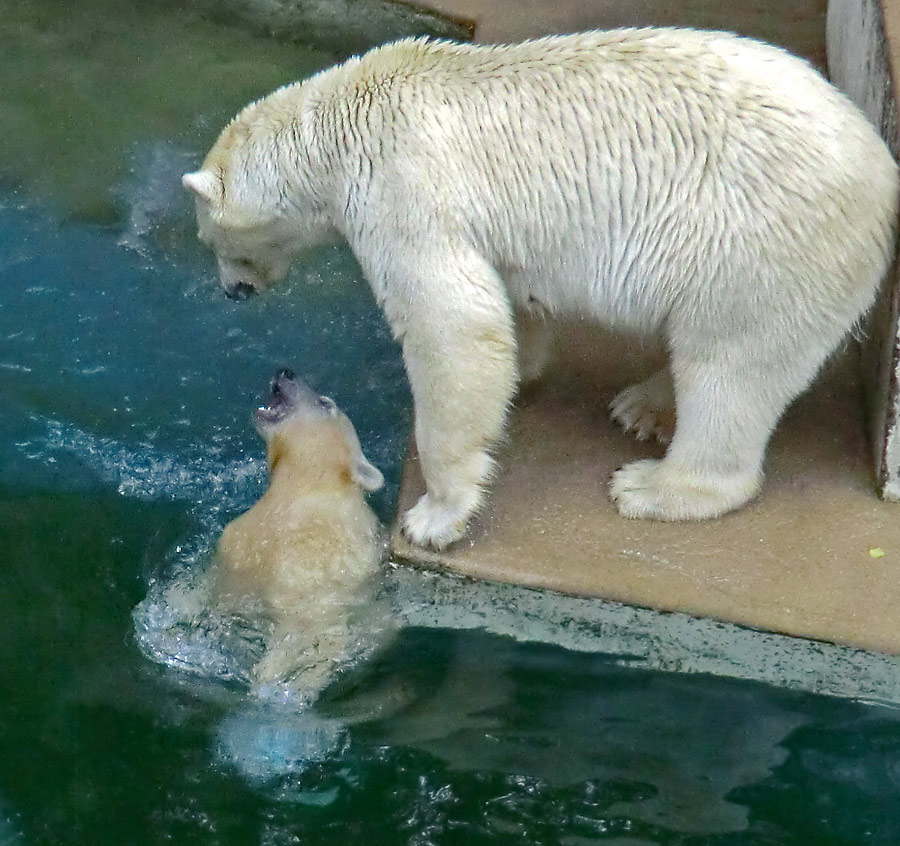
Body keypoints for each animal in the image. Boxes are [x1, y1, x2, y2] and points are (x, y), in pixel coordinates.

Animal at [186, 29, 896, 548]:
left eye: (210, 240)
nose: (231, 292)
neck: (339, 126)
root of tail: (885, 175)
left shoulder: (401, 190)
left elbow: (453, 322)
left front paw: (435, 515)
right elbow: (504, 307)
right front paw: (520, 374)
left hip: (760, 246)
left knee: (731, 365)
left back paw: (652, 485)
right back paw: (644, 406)